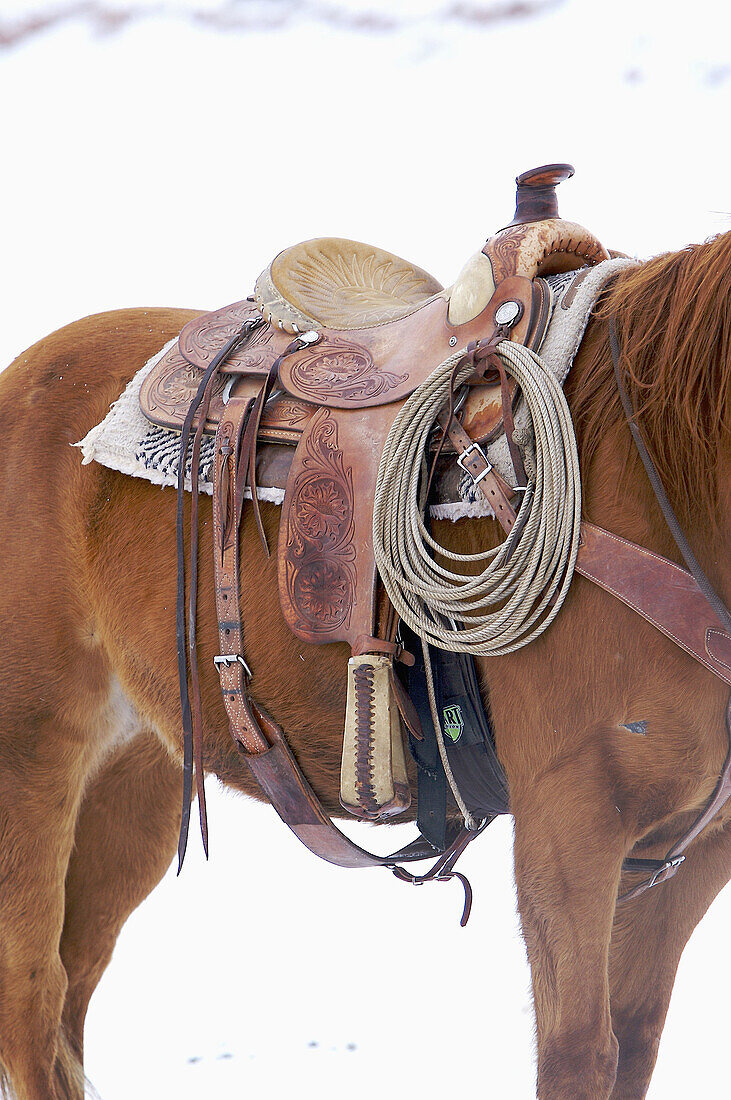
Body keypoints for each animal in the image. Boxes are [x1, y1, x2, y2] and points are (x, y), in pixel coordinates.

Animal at [0, 227, 725, 1095]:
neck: (665, 482)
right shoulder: (569, 828)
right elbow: (580, 1056)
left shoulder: (682, 854)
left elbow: (633, 1043)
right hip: (32, 750)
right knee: (32, 1000)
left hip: (135, 768)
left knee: (70, 993)